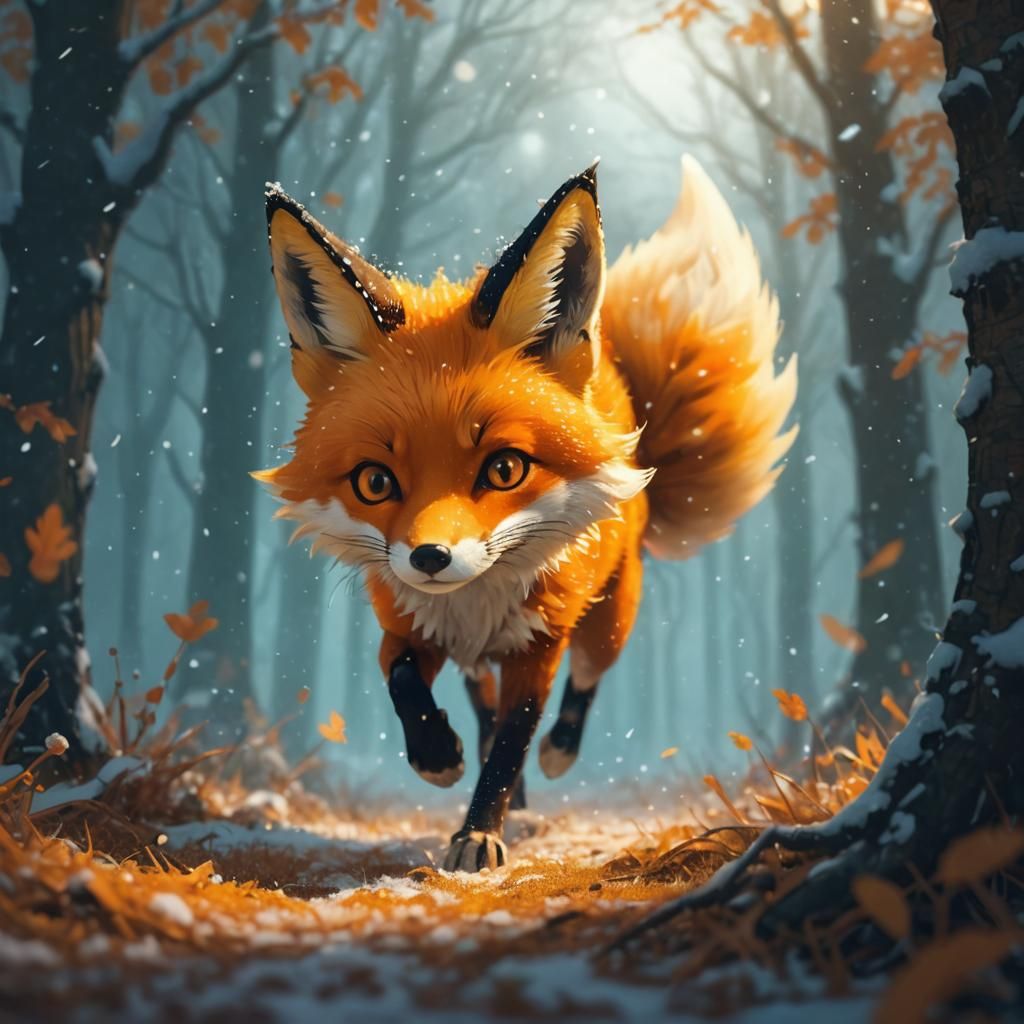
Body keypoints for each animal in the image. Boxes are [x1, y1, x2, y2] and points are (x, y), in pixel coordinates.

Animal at [256, 157, 796, 872]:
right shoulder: (408, 625)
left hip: (609, 623)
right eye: (375, 482)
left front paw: (480, 832)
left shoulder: (540, 645)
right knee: (481, 707)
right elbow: (404, 682)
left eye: (505, 469)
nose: (430, 558)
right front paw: (437, 755)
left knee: (583, 686)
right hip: (479, 659)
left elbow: (513, 743)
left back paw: (557, 755)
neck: (476, 606)